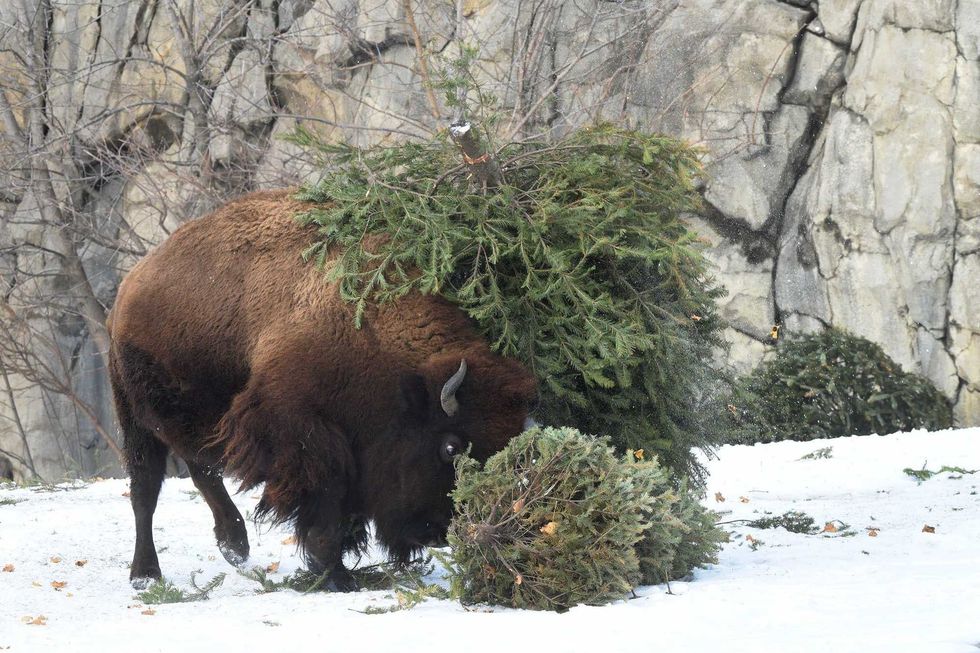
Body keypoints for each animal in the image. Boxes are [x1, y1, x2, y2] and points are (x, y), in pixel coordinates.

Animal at [108, 189, 537, 589]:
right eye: (450, 447)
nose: (439, 531)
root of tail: (130, 285)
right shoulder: (301, 432)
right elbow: (324, 499)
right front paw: (335, 575)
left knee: (201, 467)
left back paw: (234, 545)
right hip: (135, 419)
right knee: (146, 489)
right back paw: (145, 574)